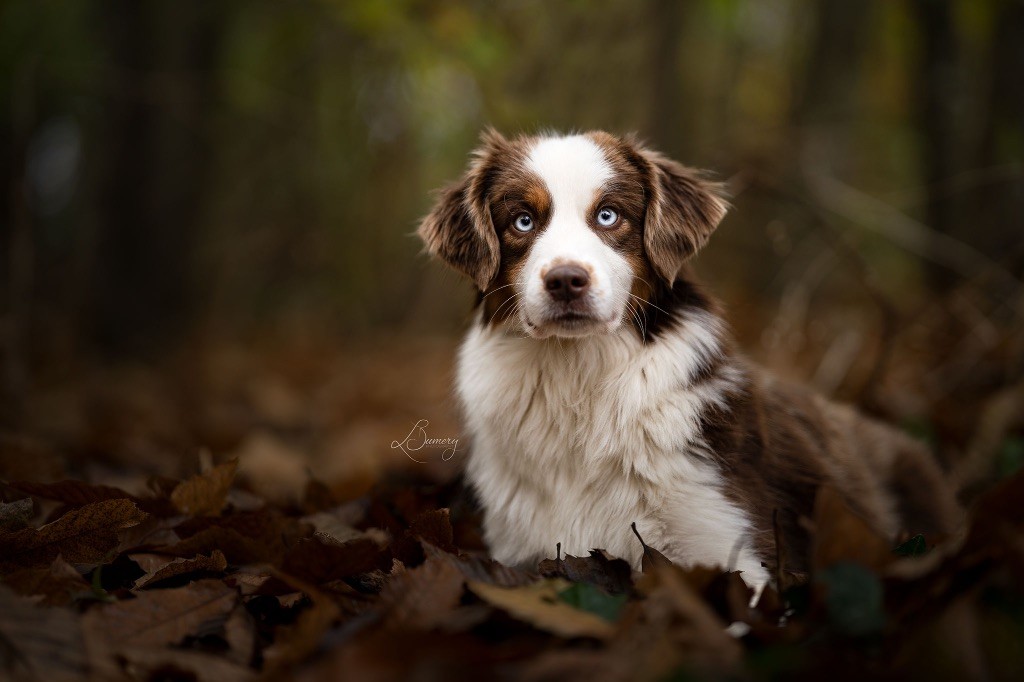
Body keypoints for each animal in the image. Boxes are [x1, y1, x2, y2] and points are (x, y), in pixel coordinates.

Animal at [415, 130, 958, 585]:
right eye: (522, 221)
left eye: (609, 215)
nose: (566, 280)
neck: (579, 379)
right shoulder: (520, 547)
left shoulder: (732, 542)